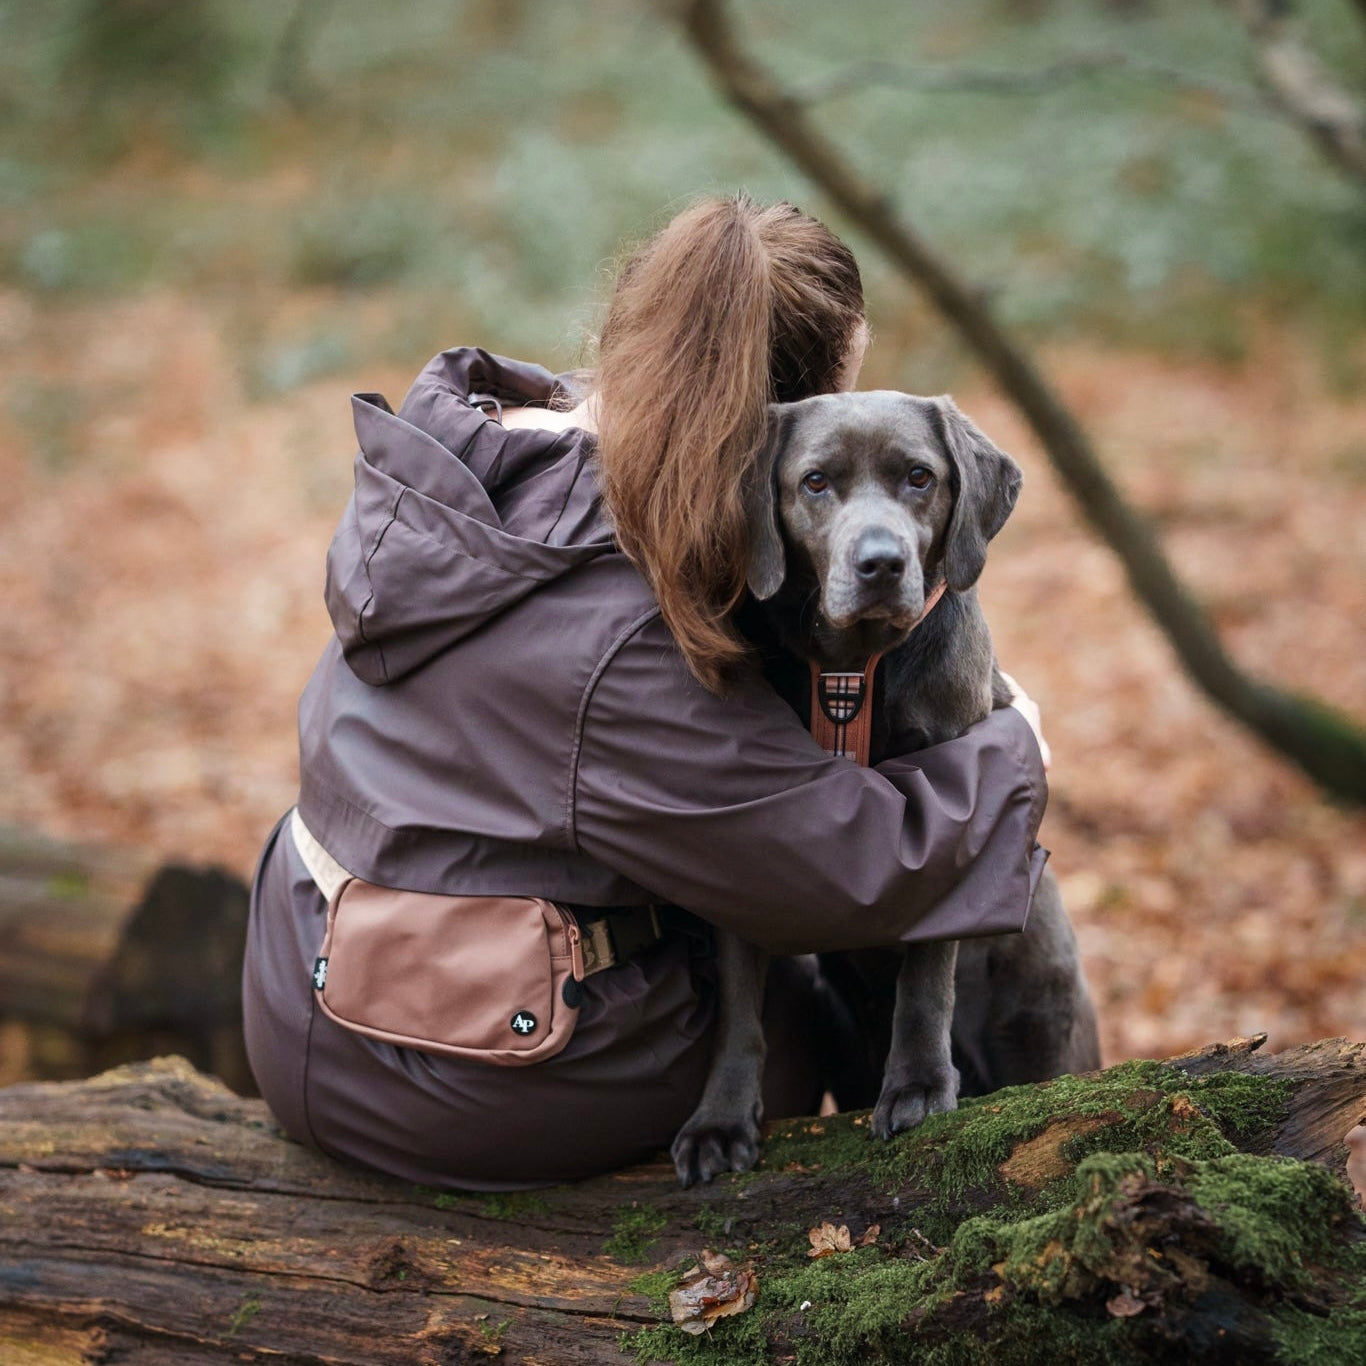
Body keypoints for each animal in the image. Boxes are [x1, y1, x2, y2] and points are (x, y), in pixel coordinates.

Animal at [669, 393, 1098, 1185]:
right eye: (814, 482)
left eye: (919, 476)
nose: (881, 563)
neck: (852, 671)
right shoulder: (741, 845)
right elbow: (739, 1007)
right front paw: (719, 1122)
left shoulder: (958, 811)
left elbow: (926, 977)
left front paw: (920, 1087)